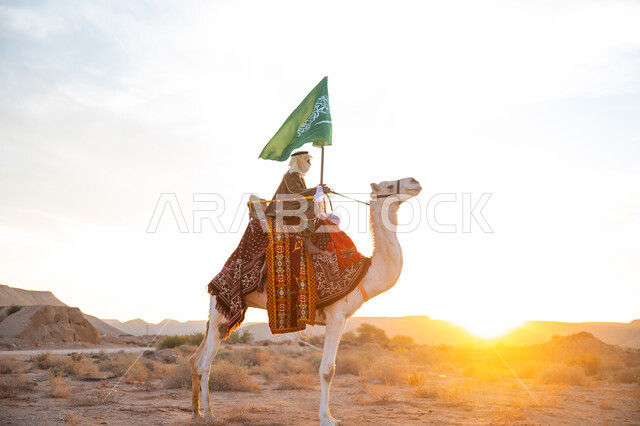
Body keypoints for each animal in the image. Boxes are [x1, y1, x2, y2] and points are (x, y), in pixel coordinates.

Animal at [190, 177, 422, 425]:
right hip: (222, 308)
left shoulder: (343, 318)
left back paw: (197, 412)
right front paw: (326, 419)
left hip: (222, 314)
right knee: (204, 364)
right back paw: (210, 415)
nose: (414, 181)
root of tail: (215, 279)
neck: (365, 273)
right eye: (388, 186)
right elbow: (328, 370)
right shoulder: (335, 313)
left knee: (197, 358)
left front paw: (332, 416)